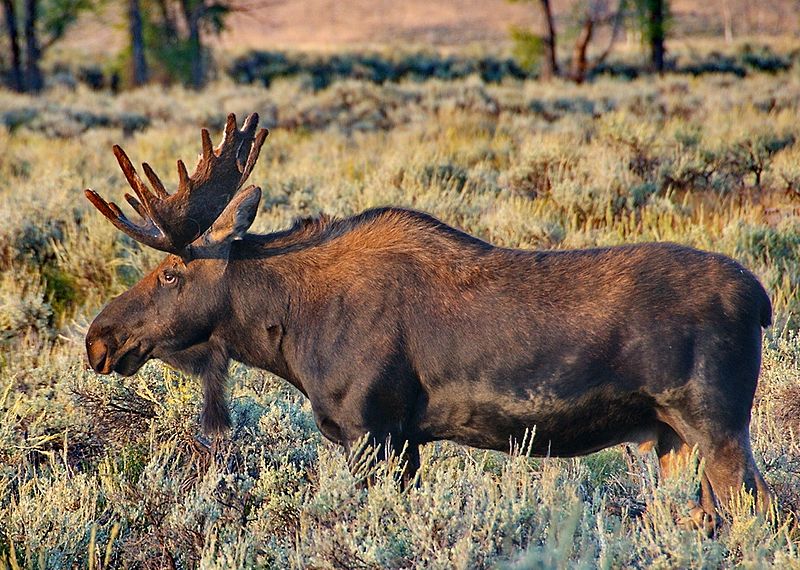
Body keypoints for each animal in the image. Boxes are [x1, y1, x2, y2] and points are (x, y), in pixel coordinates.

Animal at [85, 113, 773, 528]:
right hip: (670, 436)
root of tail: (762, 302)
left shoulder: (374, 430)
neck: (291, 333)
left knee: (758, 512)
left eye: (169, 273)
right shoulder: (407, 439)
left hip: (716, 423)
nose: (99, 339)